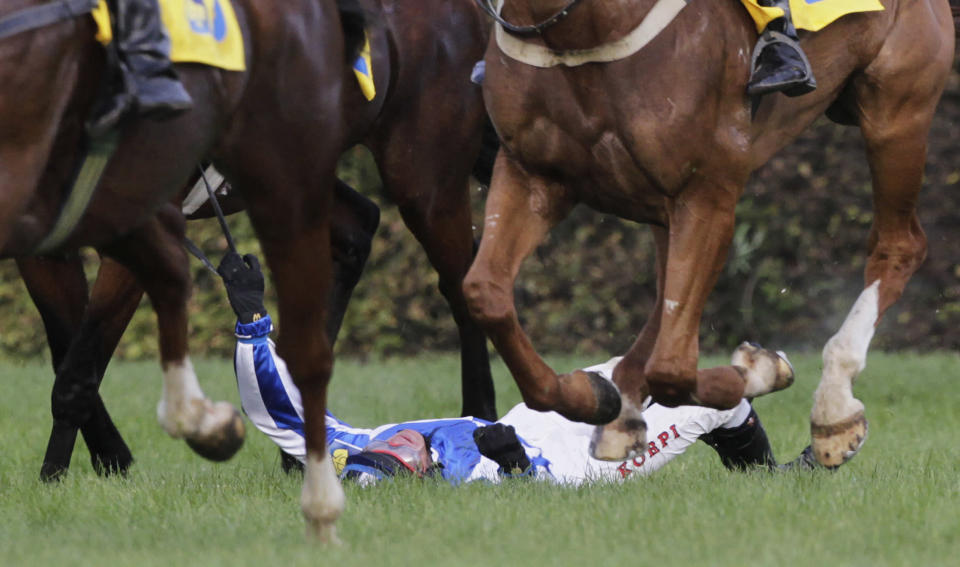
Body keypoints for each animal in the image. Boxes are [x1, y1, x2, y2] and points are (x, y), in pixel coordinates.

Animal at [15, 0, 496, 484]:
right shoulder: (43, 249)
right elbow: (68, 352)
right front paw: (96, 462)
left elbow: (80, 367)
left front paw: (63, 472)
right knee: (359, 228)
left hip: (426, 182)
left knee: (460, 283)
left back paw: (479, 420)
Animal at [464, 0, 952, 468]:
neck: (575, 33)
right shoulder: (531, 175)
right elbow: (485, 294)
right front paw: (591, 397)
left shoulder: (708, 192)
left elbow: (673, 368)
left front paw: (760, 371)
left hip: (896, 112)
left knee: (900, 245)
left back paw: (834, 409)